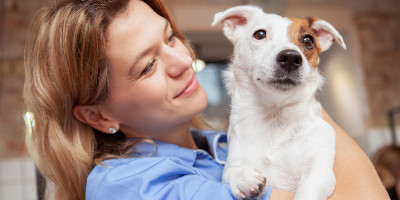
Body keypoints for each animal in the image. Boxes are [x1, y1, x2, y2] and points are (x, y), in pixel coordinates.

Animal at [211, 5, 346, 200]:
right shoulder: (234, 159)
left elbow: (308, 187)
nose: (290, 57)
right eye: (260, 34)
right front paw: (244, 178)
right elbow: (229, 171)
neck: (274, 114)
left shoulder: (320, 171)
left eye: (308, 40)